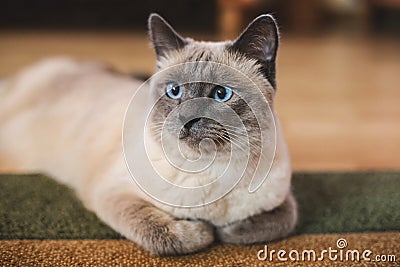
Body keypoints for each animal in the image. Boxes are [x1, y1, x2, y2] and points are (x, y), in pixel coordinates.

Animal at [0, 13, 296, 256]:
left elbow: (278, 223)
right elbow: (163, 234)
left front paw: (226, 231)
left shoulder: (284, 200)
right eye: (174, 91)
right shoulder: (114, 194)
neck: (209, 169)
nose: (186, 120)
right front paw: (203, 231)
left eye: (221, 94)